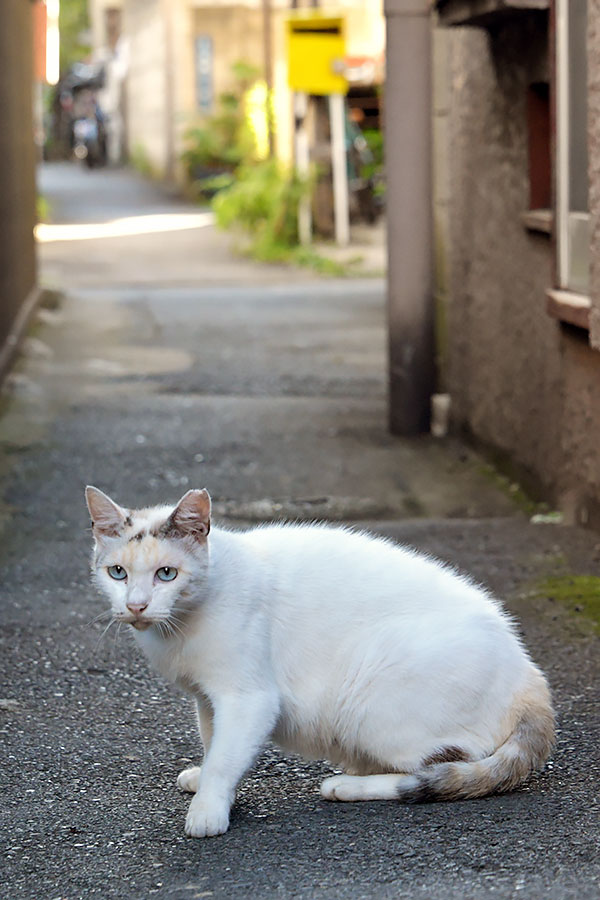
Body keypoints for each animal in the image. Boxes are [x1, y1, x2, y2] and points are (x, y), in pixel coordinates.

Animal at [84, 486, 552, 836]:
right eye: (117, 573)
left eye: (166, 574)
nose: (136, 606)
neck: (178, 631)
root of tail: (529, 674)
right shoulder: (206, 697)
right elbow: (216, 742)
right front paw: (214, 784)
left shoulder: (249, 697)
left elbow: (226, 755)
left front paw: (208, 808)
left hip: (372, 695)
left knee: (442, 767)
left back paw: (347, 786)